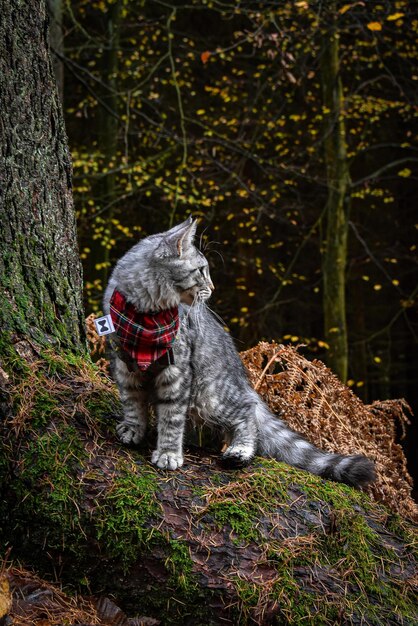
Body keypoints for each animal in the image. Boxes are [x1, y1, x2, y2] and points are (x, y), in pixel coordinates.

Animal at [103, 217, 376, 486]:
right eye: (201, 270)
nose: (212, 287)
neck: (144, 315)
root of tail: (241, 377)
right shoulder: (123, 364)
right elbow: (132, 401)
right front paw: (133, 428)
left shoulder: (177, 372)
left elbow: (171, 418)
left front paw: (168, 452)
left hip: (210, 394)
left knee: (247, 414)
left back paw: (240, 450)